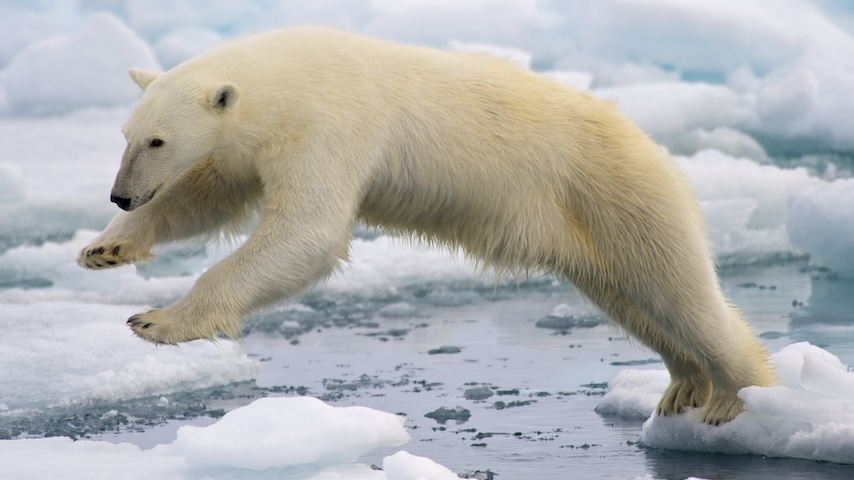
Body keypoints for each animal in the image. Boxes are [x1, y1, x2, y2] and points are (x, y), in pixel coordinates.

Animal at [78, 27, 776, 424]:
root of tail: (652, 146)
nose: (120, 194)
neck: (288, 77)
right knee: (632, 301)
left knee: (678, 291)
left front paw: (158, 320)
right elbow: (209, 194)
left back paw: (734, 397)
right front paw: (106, 248)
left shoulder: (331, 124)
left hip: (617, 194)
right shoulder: (255, 144)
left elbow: (307, 231)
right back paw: (683, 386)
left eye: (157, 140)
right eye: (127, 134)